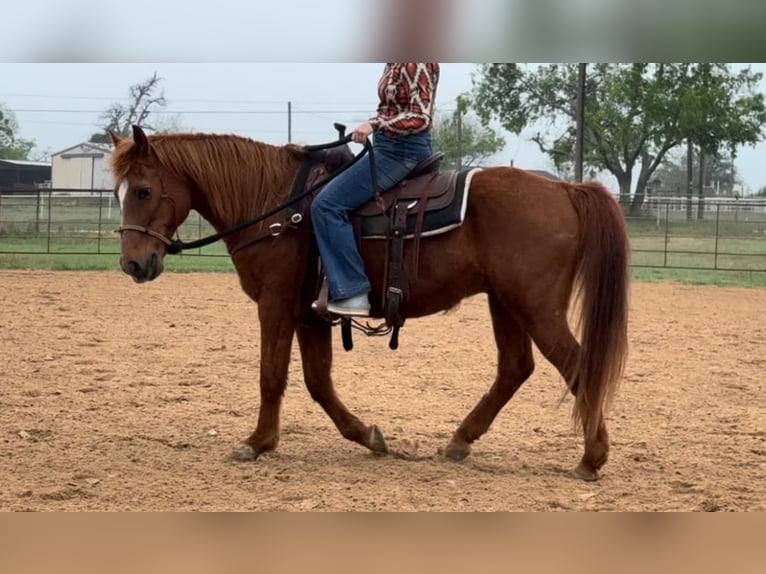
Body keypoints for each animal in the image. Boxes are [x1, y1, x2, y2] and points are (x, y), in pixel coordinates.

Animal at [109, 125, 629, 481]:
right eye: (120, 192)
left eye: (144, 190)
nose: (133, 263)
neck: (279, 206)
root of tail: (566, 188)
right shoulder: (310, 315)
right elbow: (318, 381)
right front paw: (368, 437)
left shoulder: (275, 304)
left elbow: (271, 375)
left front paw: (256, 443)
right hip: (505, 302)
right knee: (515, 368)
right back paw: (459, 442)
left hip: (536, 307)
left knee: (578, 367)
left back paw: (591, 458)